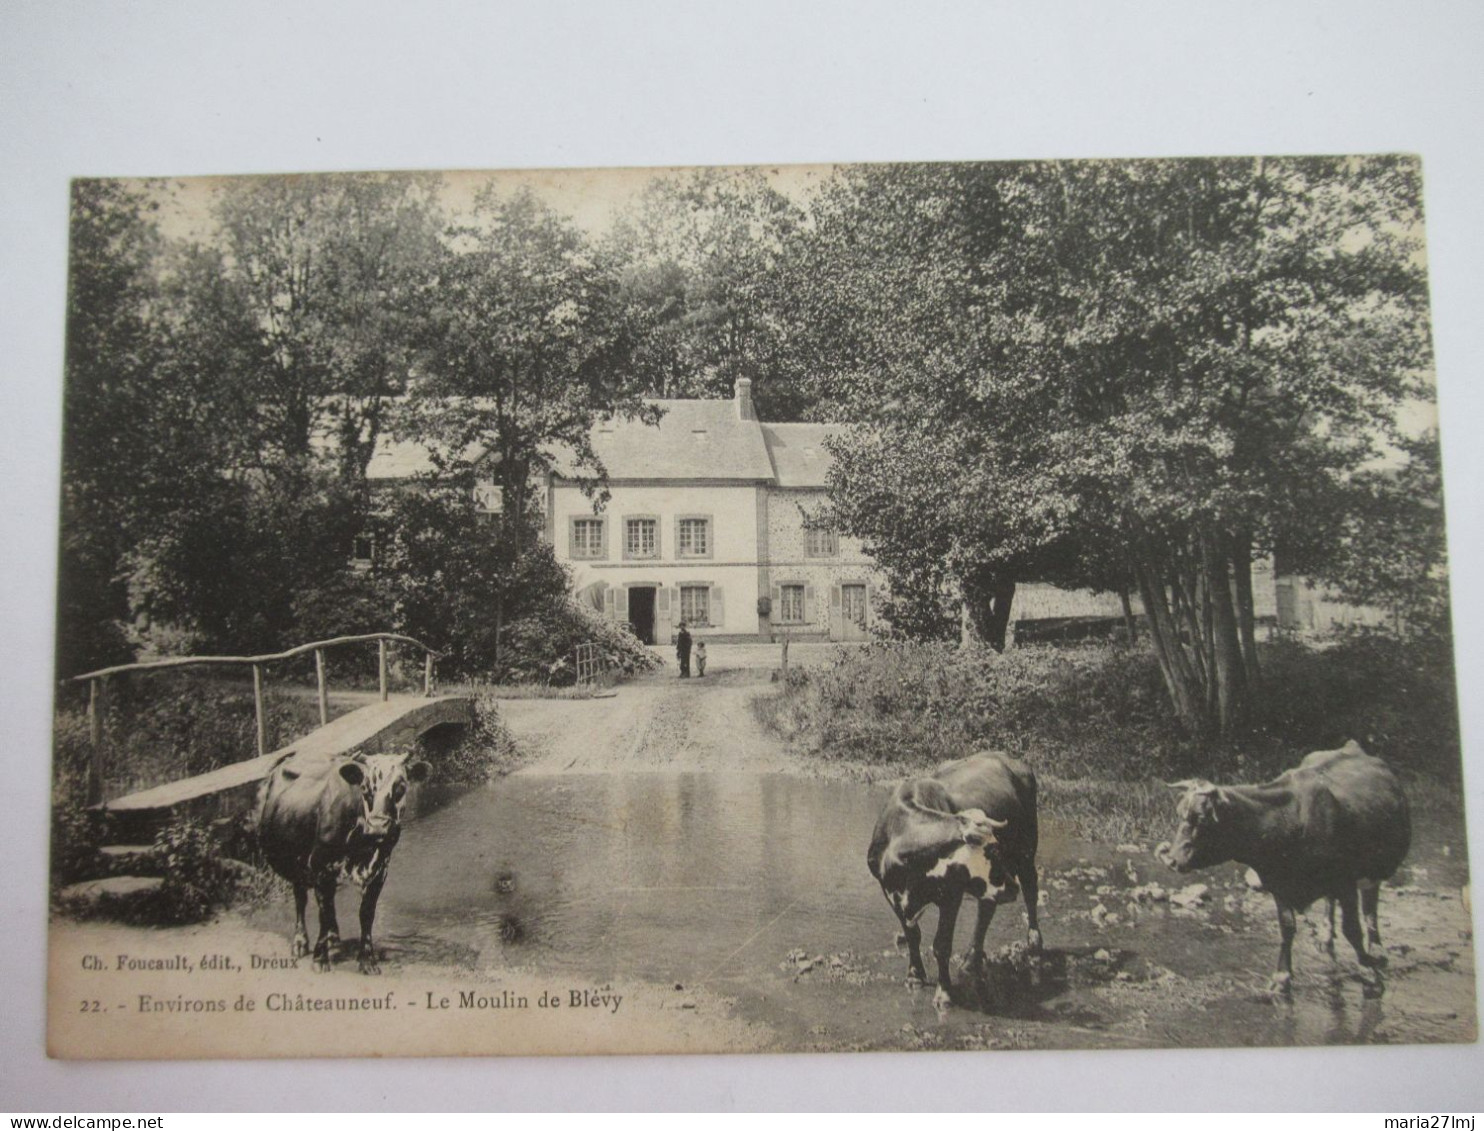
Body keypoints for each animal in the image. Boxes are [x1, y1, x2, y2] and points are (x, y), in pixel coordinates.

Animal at [255, 748, 427, 967]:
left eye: (401, 787)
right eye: (364, 788)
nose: (377, 827)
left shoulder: (380, 870)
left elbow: (366, 914)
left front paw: (367, 960)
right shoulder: (319, 866)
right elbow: (323, 911)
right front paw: (320, 958)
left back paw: (332, 935)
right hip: (295, 865)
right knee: (301, 899)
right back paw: (300, 942)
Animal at [866, 748, 1038, 1003]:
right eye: (993, 849)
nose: (1011, 887)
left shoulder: (951, 896)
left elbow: (941, 945)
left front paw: (944, 991)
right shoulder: (891, 894)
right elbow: (913, 935)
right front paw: (915, 976)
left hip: (1027, 853)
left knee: (1031, 892)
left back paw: (1035, 944)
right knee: (986, 909)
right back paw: (972, 959)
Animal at [1157, 739, 1412, 985]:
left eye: (1201, 818)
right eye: (1179, 814)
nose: (1171, 859)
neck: (1289, 820)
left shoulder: (1345, 881)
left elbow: (1352, 929)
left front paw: (1367, 968)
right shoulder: (1279, 884)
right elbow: (1287, 928)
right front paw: (1282, 975)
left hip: (1375, 868)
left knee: (1370, 904)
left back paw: (1376, 948)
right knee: (1331, 903)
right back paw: (1326, 936)